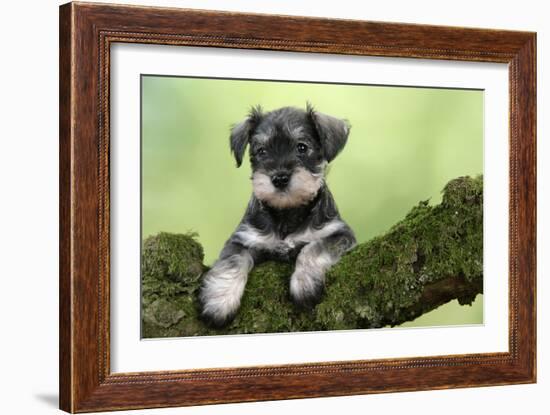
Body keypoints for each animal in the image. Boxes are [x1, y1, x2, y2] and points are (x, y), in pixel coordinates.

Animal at [198, 105, 358, 328]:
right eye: (261, 151)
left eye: (301, 147)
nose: (280, 178)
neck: (287, 212)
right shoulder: (242, 239)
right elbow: (232, 262)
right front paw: (218, 303)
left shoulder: (340, 234)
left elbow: (313, 248)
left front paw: (304, 285)